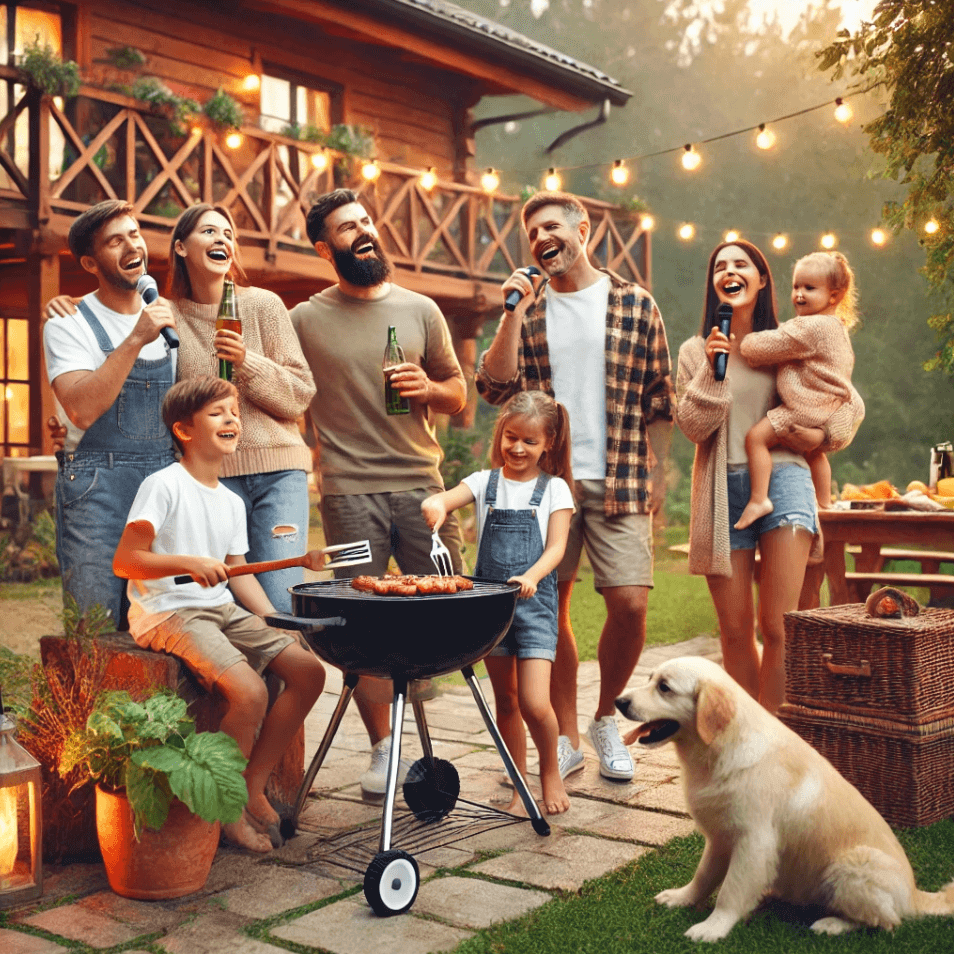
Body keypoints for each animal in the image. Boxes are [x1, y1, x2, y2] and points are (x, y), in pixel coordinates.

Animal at [612, 656, 948, 936]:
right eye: (650, 678)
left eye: (664, 687)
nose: (618, 701)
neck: (718, 749)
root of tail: (916, 895)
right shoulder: (720, 837)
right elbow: (704, 875)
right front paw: (682, 897)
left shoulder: (754, 839)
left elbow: (730, 891)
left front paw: (713, 928)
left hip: (851, 864)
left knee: (887, 921)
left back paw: (832, 924)